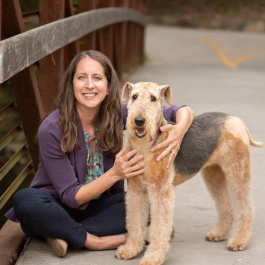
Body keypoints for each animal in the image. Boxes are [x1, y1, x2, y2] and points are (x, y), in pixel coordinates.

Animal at [115, 81, 262, 264]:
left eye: (153, 98)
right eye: (134, 96)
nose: (139, 121)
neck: (144, 146)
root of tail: (235, 119)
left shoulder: (161, 190)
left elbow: (159, 227)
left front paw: (153, 257)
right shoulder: (136, 189)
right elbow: (135, 221)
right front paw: (130, 250)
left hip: (237, 170)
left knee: (246, 207)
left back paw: (238, 241)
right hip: (213, 173)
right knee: (225, 203)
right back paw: (217, 234)